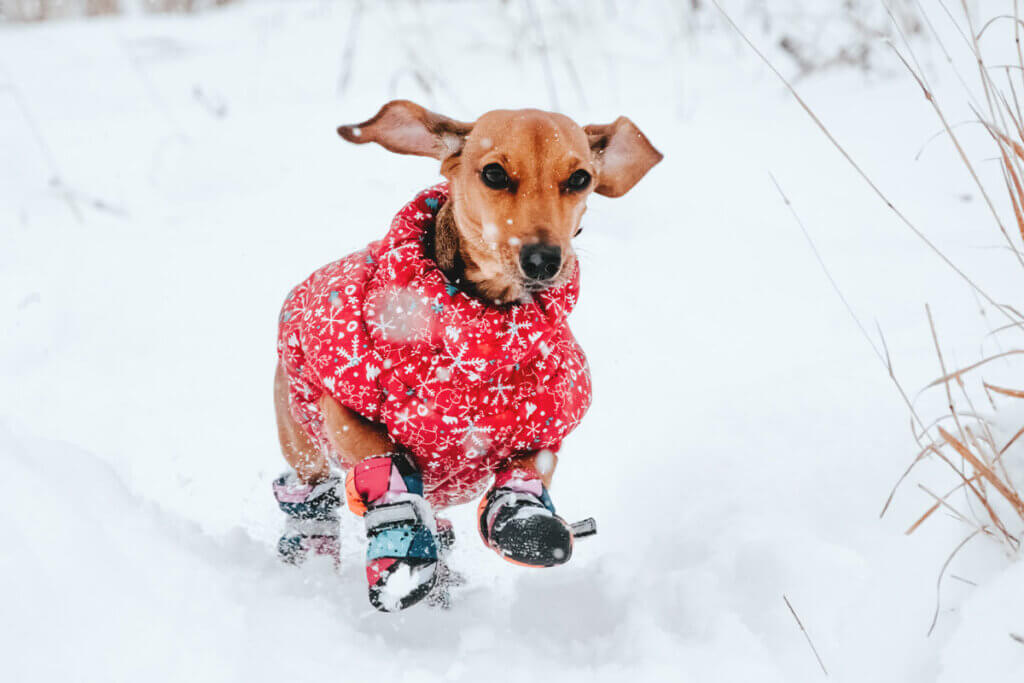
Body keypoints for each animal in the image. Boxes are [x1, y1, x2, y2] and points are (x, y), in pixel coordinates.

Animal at [268, 100, 659, 610]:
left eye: (579, 178)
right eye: (493, 173)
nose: (543, 260)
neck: (478, 343)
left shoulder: (548, 421)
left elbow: (528, 471)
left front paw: (523, 518)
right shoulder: (343, 407)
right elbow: (383, 458)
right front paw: (401, 539)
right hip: (302, 442)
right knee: (312, 498)